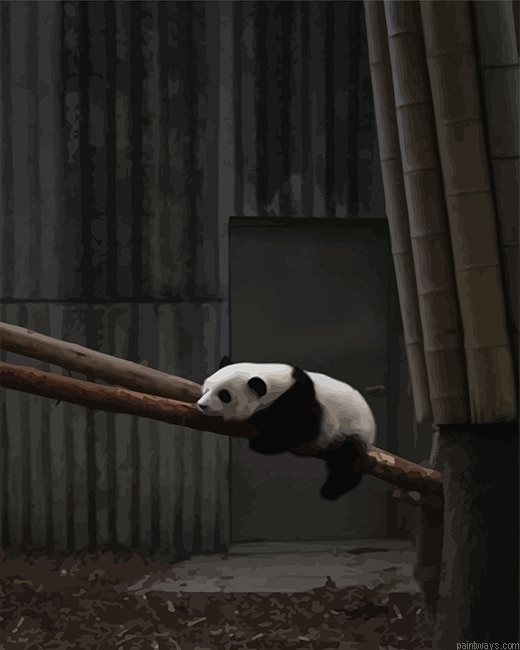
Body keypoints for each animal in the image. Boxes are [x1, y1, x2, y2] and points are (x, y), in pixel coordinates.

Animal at [197, 357, 376, 501]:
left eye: (224, 395)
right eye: (206, 388)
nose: (202, 405)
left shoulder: (298, 398)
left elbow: (300, 428)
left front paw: (262, 443)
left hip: (353, 430)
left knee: (348, 458)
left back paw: (331, 490)